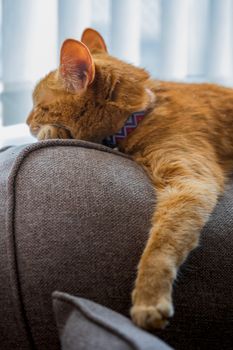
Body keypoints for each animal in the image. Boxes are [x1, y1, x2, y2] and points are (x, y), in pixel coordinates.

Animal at [26, 28, 232, 330]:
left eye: (39, 106)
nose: (26, 121)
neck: (142, 113)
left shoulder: (191, 180)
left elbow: (161, 244)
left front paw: (149, 298)